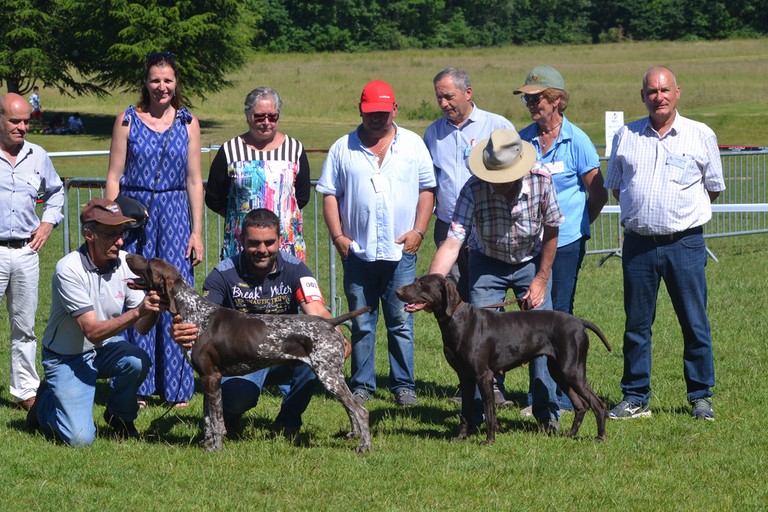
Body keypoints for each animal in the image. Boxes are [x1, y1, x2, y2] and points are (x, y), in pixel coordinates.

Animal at [125, 254, 371, 453]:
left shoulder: (211, 377)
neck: (194, 312)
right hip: (332, 375)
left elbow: (216, 420)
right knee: (350, 407)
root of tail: (330, 322)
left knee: (360, 410)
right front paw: (207, 443)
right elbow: (208, 418)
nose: (128, 255)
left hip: (327, 375)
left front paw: (215, 448)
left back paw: (364, 446)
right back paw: (353, 435)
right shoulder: (206, 378)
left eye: (148, 263)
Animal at [396, 273, 611, 444]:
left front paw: (489, 440)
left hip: (571, 371)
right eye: (416, 280)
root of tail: (579, 322)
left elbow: (490, 412)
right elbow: (466, 411)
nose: (397, 291)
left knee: (598, 404)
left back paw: (600, 437)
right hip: (559, 372)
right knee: (581, 406)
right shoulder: (465, 377)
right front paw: (461, 436)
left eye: (422, 283)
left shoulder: (484, 376)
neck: (456, 320)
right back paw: (571, 434)